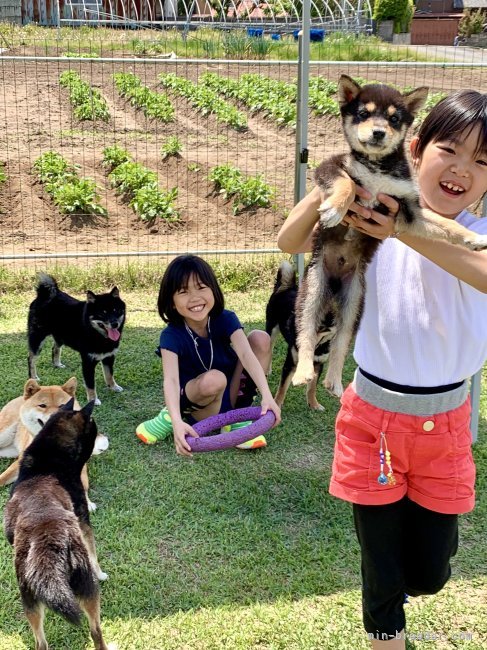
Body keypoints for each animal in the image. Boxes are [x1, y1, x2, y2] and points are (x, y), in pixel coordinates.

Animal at [26, 274, 127, 404]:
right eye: (103, 313)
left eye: (116, 310)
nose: (115, 324)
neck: (97, 334)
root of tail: (44, 294)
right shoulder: (88, 362)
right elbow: (90, 385)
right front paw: (93, 400)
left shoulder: (109, 356)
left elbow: (109, 375)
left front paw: (113, 387)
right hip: (37, 339)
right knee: (31, 359)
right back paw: (33, 377)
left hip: (61, 336)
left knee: (55, 348)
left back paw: (57, 364)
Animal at [292, 74, 487, 394]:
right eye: (363, 113)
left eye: (394, 119)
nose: (379, 132)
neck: (377, 167)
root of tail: (334, 285)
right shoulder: (332, 166)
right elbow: (347, 183)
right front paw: (335, 209)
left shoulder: (409, 209)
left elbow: (446, 224)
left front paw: (473, 238)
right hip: (310, 293)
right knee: (306, 334)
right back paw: (303, 372)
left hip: (354, 305)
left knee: (340, 344)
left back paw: (333, 380)